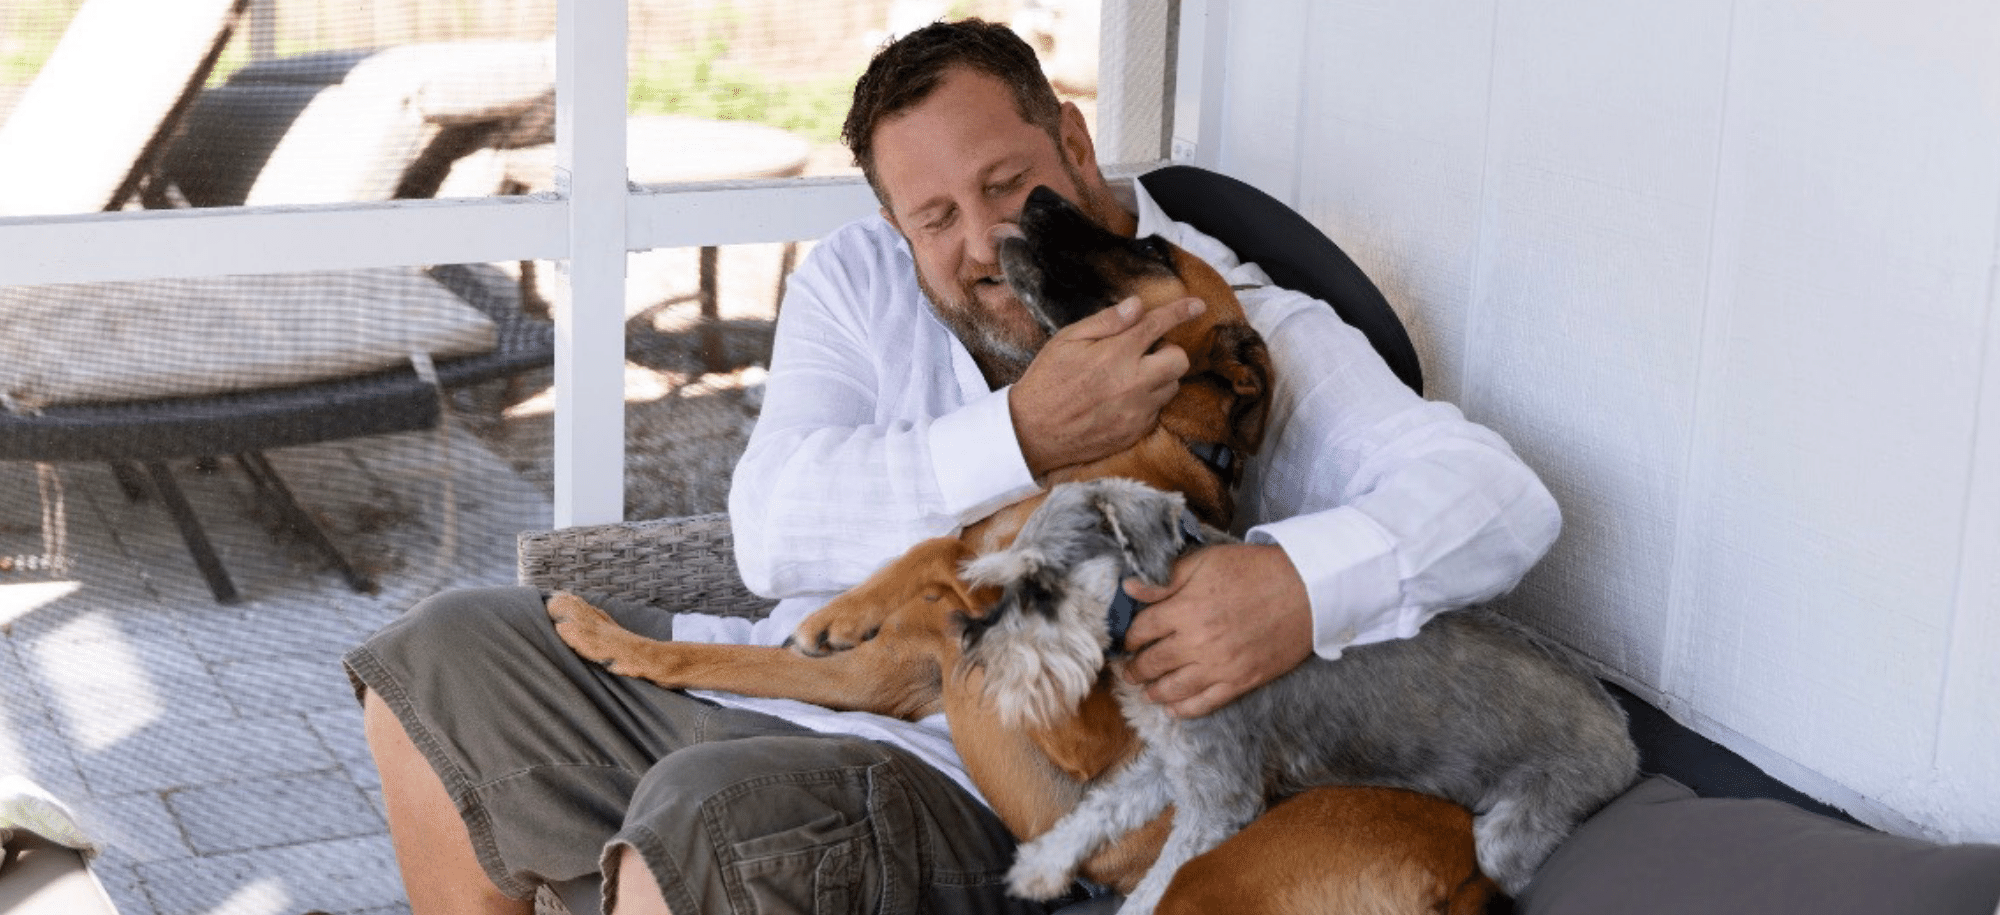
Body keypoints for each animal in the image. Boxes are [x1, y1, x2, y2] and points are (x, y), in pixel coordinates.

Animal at [956, 475, 1640, 911]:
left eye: (1040, 589)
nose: (975, 652)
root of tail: (1628, 743)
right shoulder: (1174, 763)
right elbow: (1101, 809)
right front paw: (1040, 866)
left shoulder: (1218, 801)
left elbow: (1152, 891)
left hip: (1509, 836)